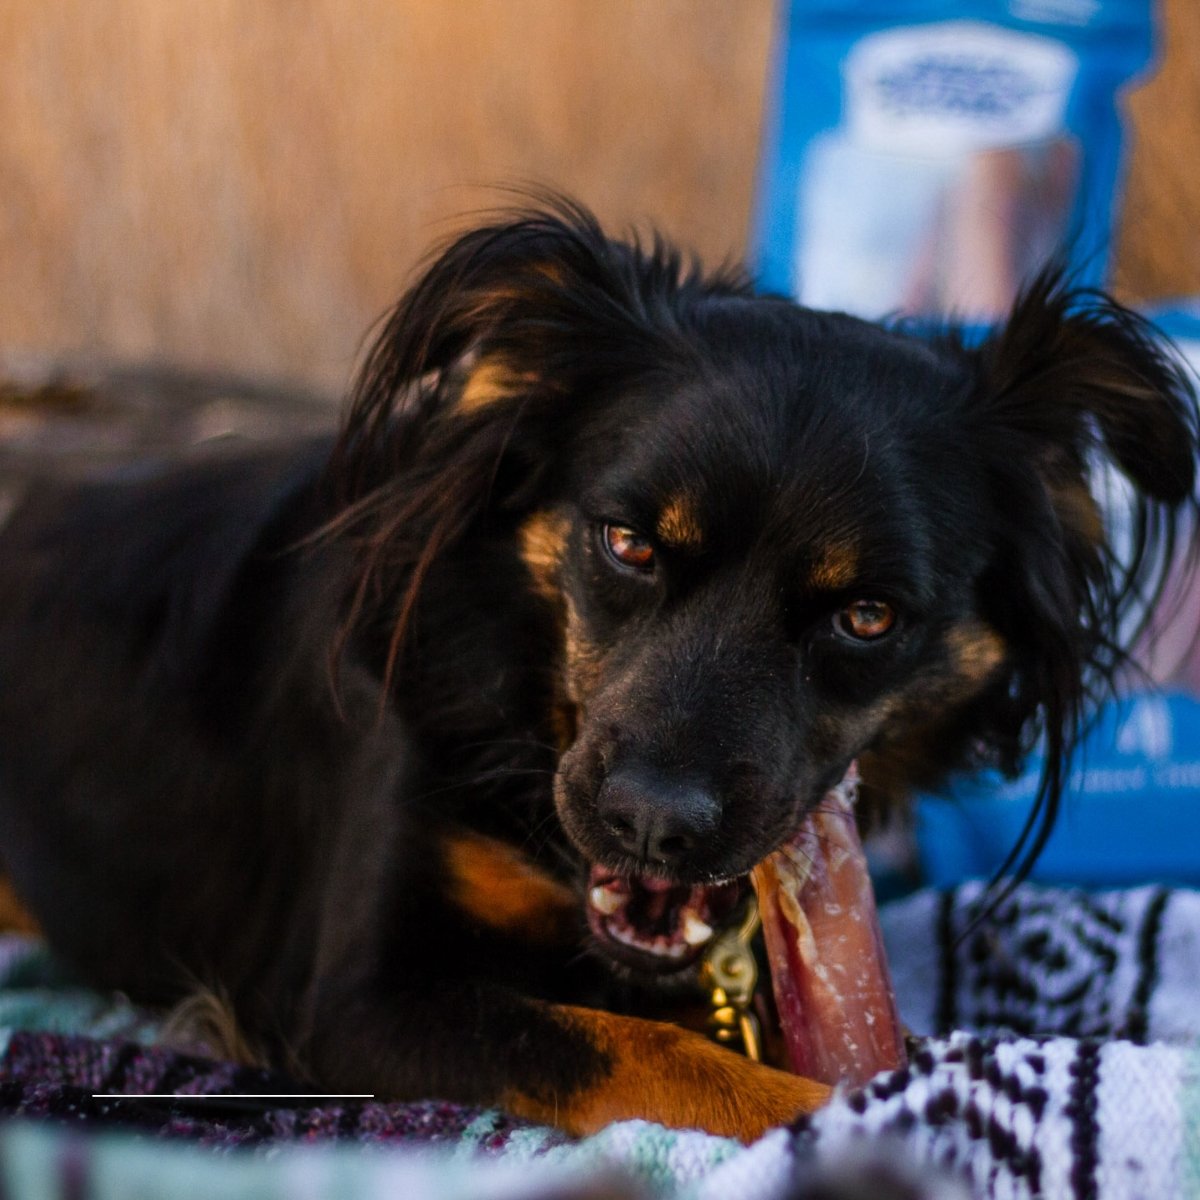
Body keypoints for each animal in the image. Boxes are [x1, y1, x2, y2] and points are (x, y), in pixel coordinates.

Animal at [0, 201, 1190, 1137]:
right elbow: (640, 1048)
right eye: (627, 544)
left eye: (867, 617)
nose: (653, 825)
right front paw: (862, 1125)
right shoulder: (350, 999)